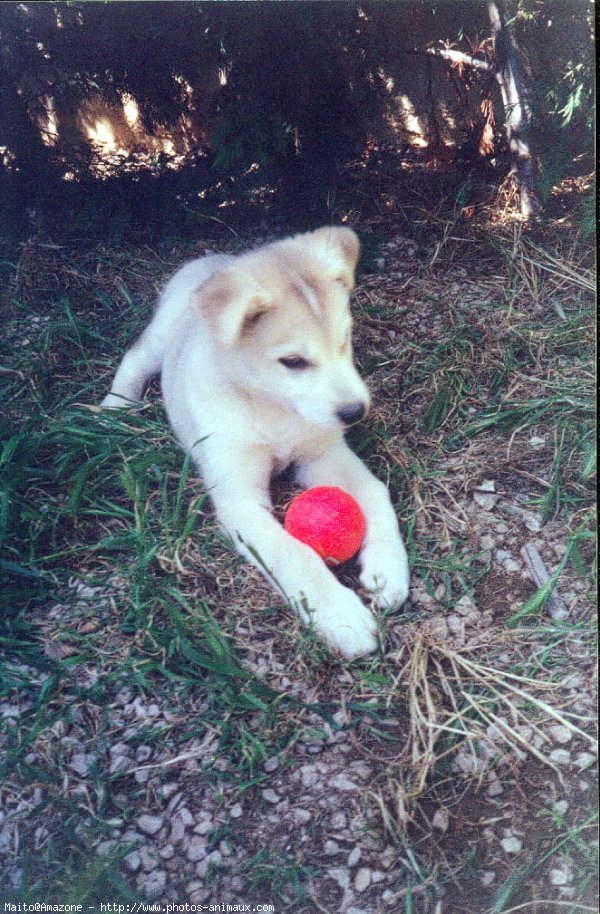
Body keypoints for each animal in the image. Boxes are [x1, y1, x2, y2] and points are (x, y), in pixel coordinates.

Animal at [104, 227, 412, 656]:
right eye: (293, 362)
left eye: (345, 340)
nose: (355, 413)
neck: (272, 409)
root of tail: (217, 258)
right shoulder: (240, 499)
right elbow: (293, 553)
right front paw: (338, 614)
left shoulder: (324, 455)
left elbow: (373, 491)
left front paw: (388, 567)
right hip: (160, 335)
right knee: (134, 358)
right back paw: (112, 407)